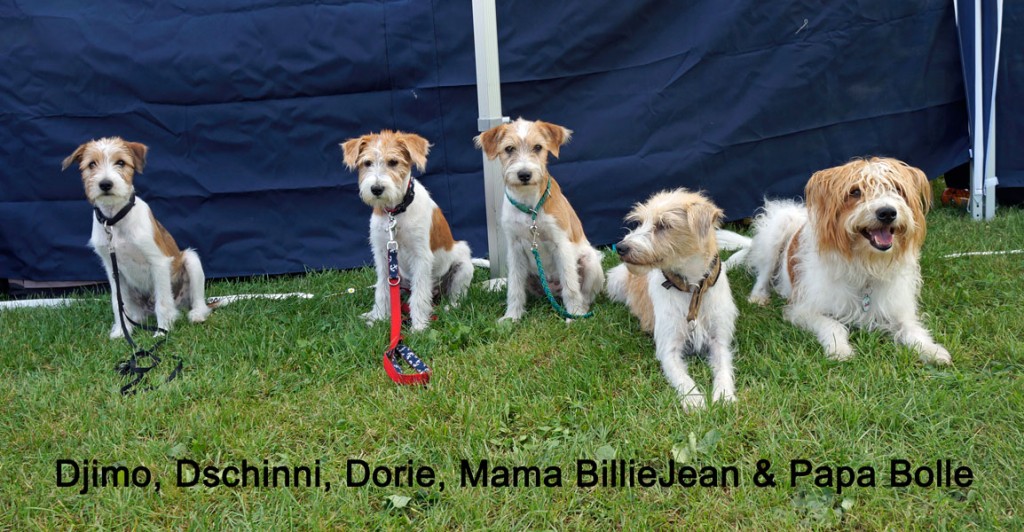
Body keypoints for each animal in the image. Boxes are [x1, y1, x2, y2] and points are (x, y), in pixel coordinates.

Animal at [62, 137, 211, 339]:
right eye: (91, 164)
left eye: (121, 163)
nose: (105, 184)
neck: (114, 220)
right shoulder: (113, 269)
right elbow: (118, 304)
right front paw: (121, 332)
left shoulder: (158, 262)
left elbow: (162, 303)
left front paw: (162, 332)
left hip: (191, 259)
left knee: (196, 301)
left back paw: (196, 314)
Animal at [342, 130, 473, 331]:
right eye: (367, 163)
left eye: (393, 162)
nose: (376, 189)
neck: (396, 212)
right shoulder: (382, 255)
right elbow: (382, 289)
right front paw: (379, 317)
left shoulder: (421, 256)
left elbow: (419, 295)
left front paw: (418, 326)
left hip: (463, 266)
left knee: (455, 296)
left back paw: (449, 307)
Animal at [475, 118, 604, 321]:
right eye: (509, 148)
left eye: (538, 147)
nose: (524, 174)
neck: (529, 207)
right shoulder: (515, 248)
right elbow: (515, 288)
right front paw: (512, 316)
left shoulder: (561, 244)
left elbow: (570, 285)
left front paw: (574, 314)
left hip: (591, 262)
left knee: (585, 294)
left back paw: (581, 309)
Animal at [606, 189, 738, 411]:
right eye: (640, 221)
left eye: (663, 224)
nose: (621, 247)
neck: (692, 289)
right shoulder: (668, 348)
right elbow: (682, 377)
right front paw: (694, 400)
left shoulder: (719, 339)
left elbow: (723, 368)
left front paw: (724, 395)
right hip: (615, 281)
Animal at [738, 157, 950, 364]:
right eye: (855, 192)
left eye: (897, 189)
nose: (888, 212)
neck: (865, 265)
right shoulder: (803, 310)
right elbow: (834, 326)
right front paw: (839, 349)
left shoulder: (898, 311)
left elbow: (913, 330)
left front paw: (932, 350)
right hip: (775, 233)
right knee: (763, 275)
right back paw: (758, 296)